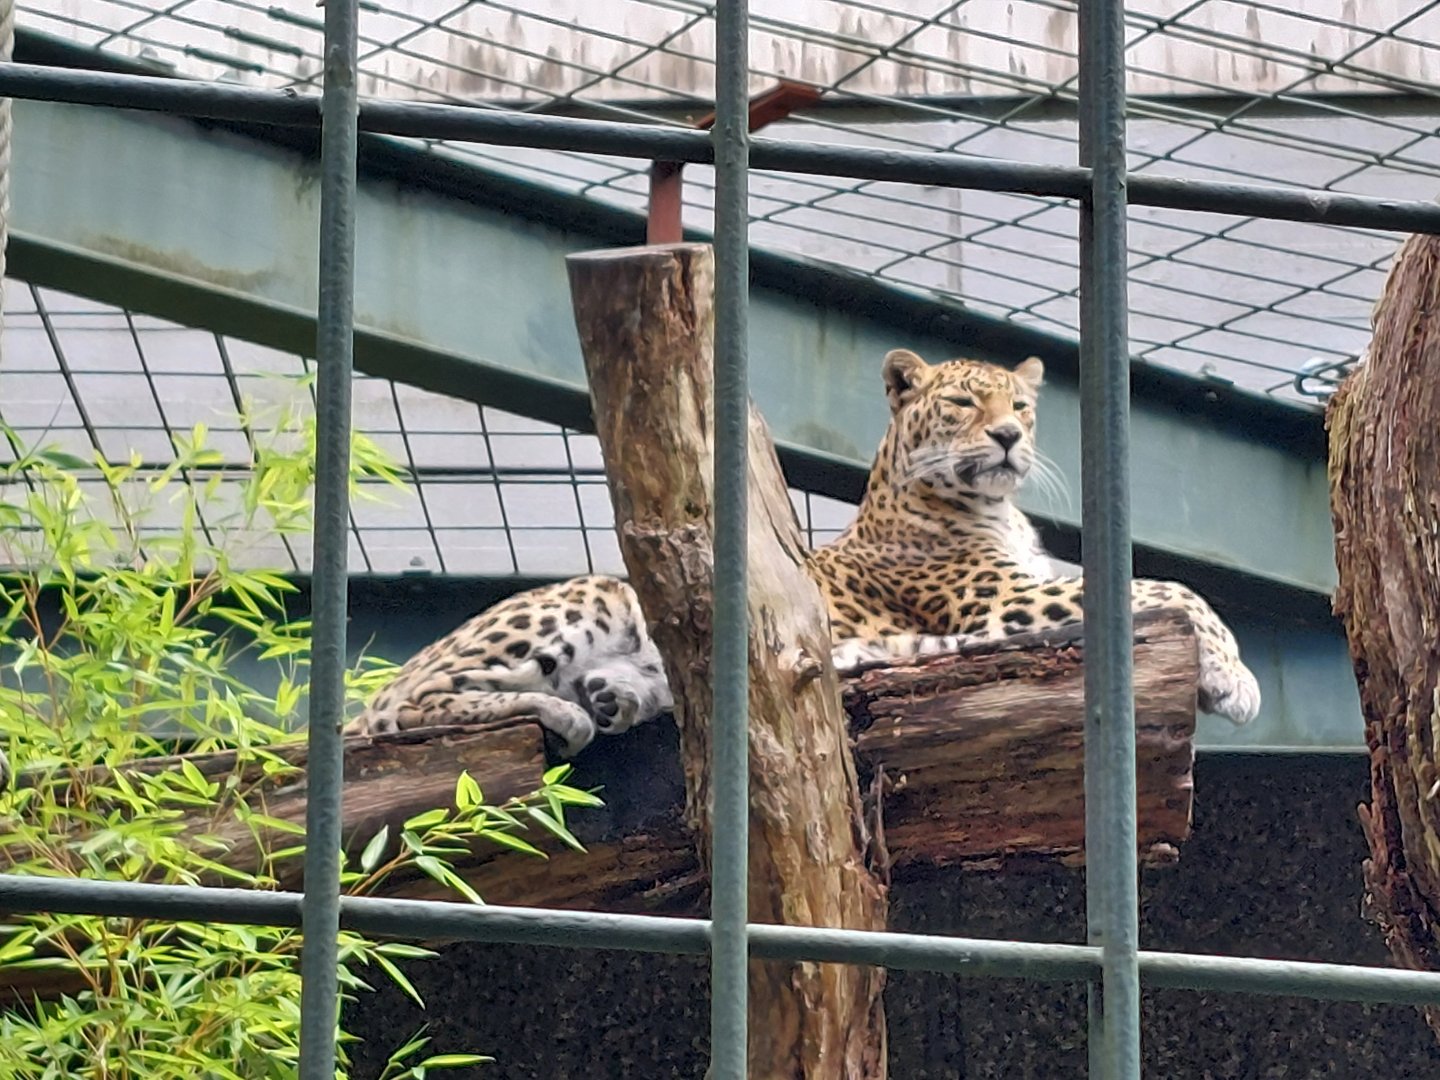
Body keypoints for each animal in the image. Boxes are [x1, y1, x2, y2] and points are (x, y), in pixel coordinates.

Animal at [347, 348, 1260, 754]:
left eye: (1023, 405)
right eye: (965, 402)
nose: (1008, 436)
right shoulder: (1000, 599)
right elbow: (1175, 590)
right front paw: (1234, 681)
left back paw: (612, 697)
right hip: (579, 599)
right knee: (401, 712)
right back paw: (558, 713)